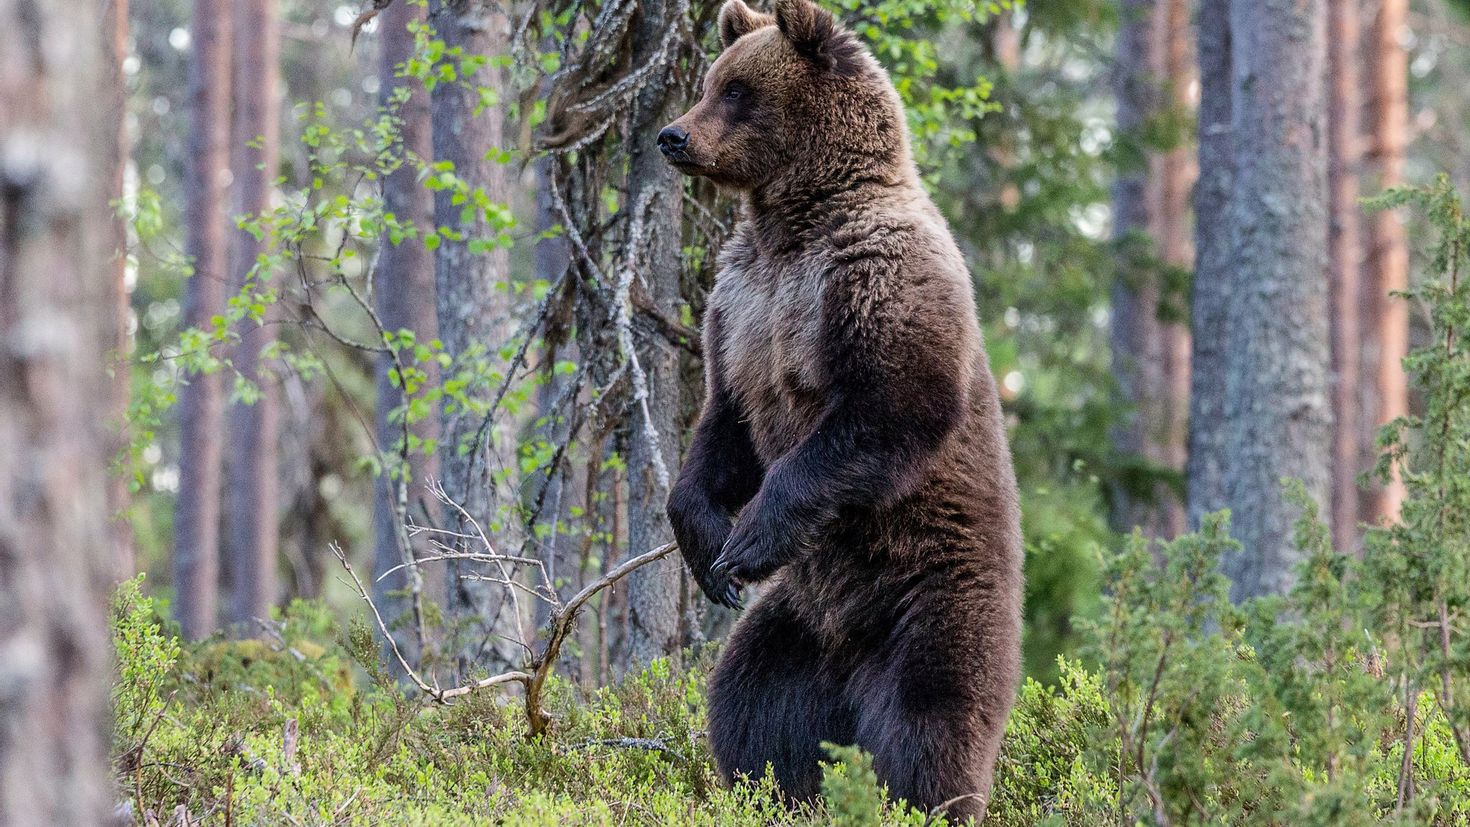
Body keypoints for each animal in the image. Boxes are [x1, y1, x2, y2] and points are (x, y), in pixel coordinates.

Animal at [664, 0, 1023, 816]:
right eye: (710, 83)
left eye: (738, 92)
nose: (673, 135)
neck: (792, 224)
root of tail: (851, 664)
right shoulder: (739, 307)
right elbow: (724, 426)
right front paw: (710, 549)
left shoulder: (875, 275)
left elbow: (890, 410)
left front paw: (749, 537)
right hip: (793, 628)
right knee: (752, 708)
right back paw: (771, 791)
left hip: (929, 601)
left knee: (931, 725)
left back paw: (930, 799)